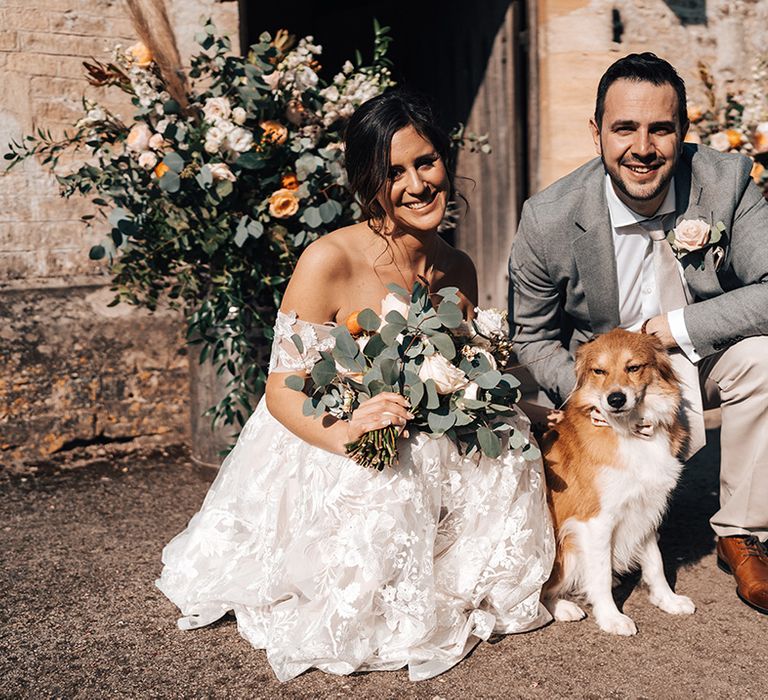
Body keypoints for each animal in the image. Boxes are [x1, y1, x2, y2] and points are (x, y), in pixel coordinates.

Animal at [540, 328, 696, 636]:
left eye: (633, 367)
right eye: (599, 371)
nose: (615, 399)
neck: (629, 432)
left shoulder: (646, 508)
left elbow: (655, 562)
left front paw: (667, 599)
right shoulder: (596, 520)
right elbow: (599, 574)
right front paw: (611, 617)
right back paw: (563, 607)